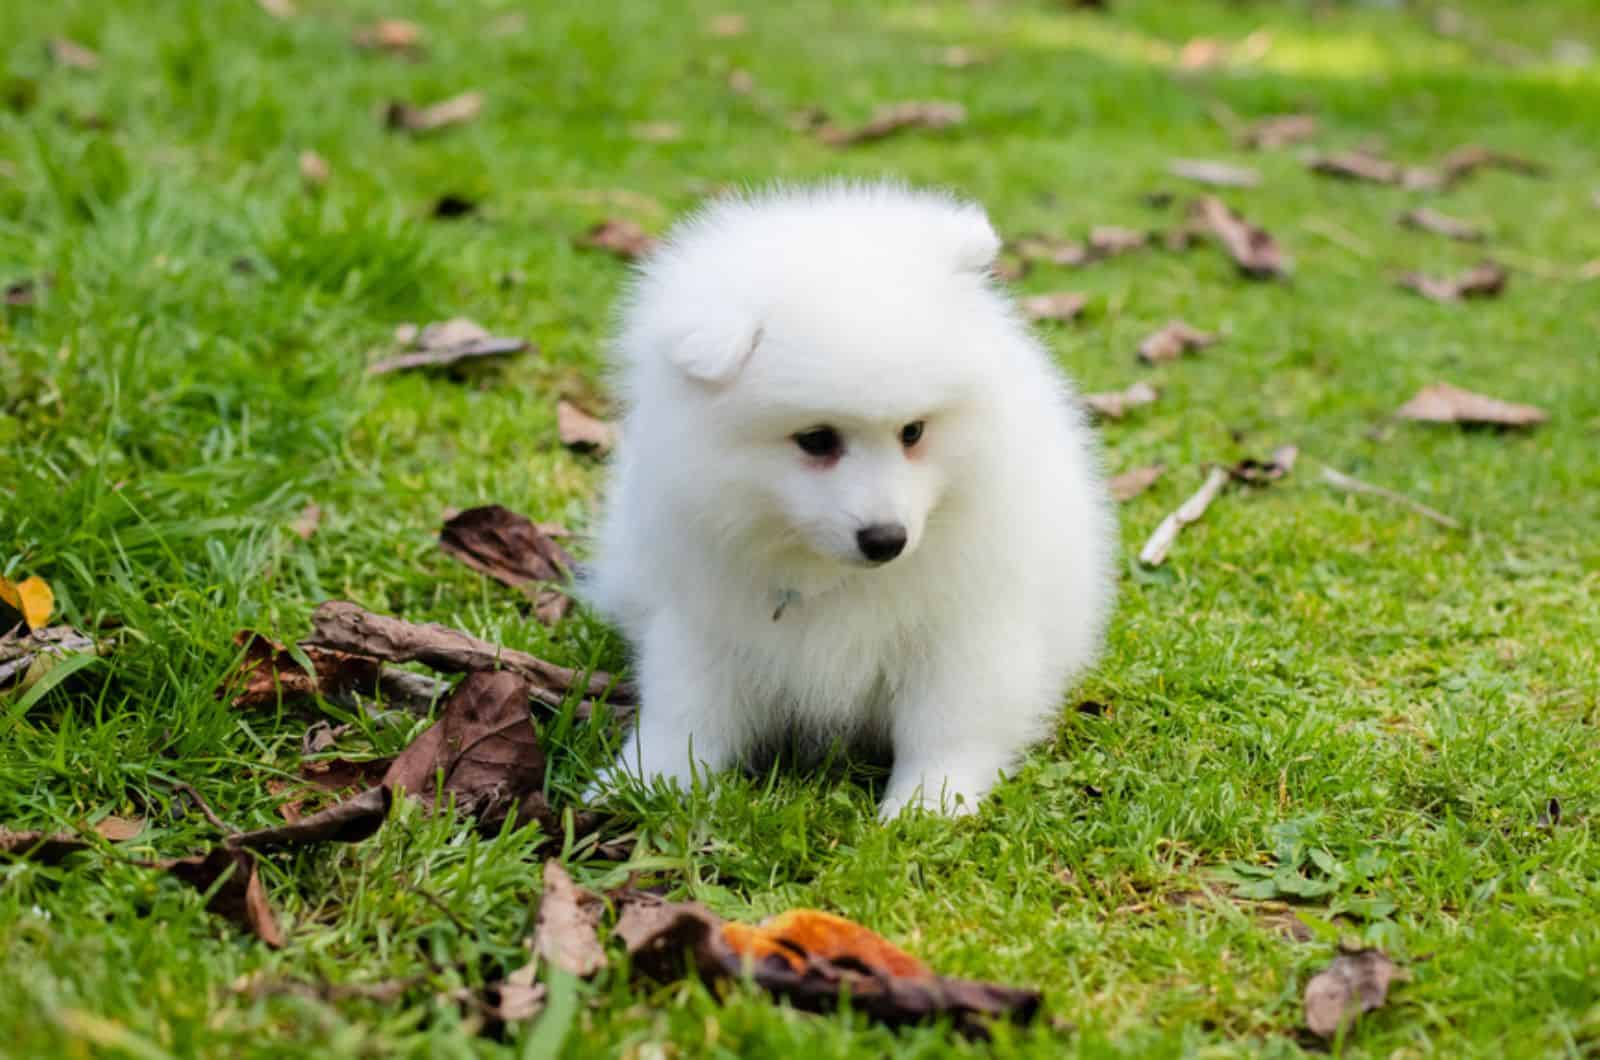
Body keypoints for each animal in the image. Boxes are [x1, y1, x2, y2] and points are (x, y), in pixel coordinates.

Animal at [585, 182, 1113, 819]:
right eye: (816, 439)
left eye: (913, 431)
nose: (887, 539)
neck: (830, 576)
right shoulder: (704, 617)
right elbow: (687, 711)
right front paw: (641, 781)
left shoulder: (963, 628)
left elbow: (948, 725)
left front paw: (927, 806)